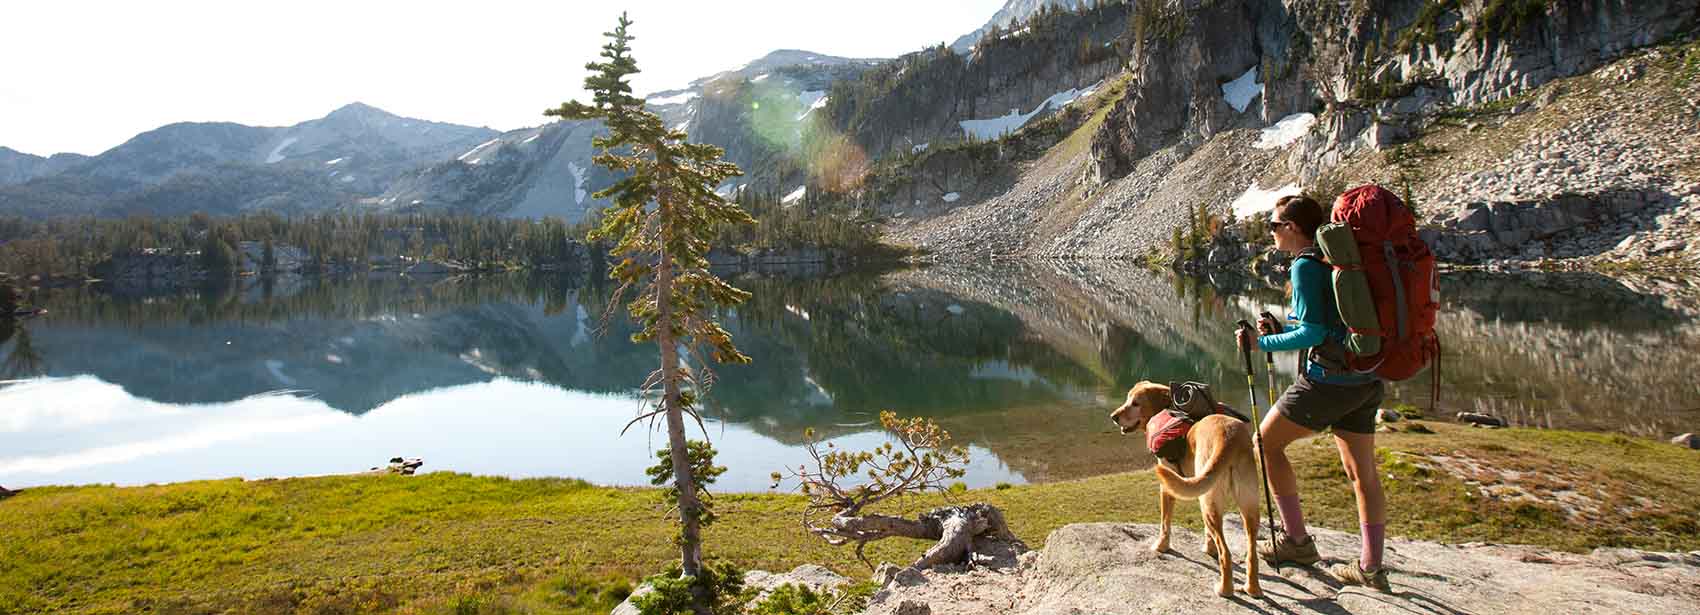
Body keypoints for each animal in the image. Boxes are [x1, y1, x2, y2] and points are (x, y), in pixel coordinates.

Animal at [1115, 378, 1264, 594]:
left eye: (1135, 403)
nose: (1113, 417)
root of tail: (1229, 438)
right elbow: (1208, 533)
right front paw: (1208, 548)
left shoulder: (1167, 488)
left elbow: (1165, 523)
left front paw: (1161, 546)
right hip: (1246, 504)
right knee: (1251, 551)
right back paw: (1252, 589)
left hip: (1208, 501)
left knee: (1226, 553)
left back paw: (1224, 589)